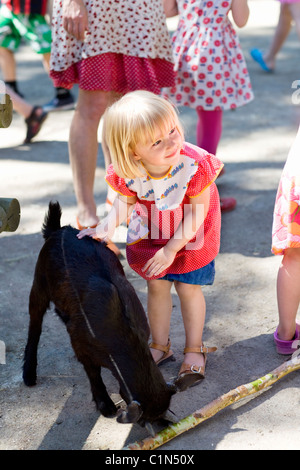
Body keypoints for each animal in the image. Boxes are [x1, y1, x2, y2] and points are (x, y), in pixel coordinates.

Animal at [23, 200, 176, 428]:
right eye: (144, 420)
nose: (164, 425)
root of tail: (59, 229)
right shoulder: (81, 343)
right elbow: (93, 372)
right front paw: (105, 404)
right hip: (39, 283)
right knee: (35, 324)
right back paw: (29, 373)